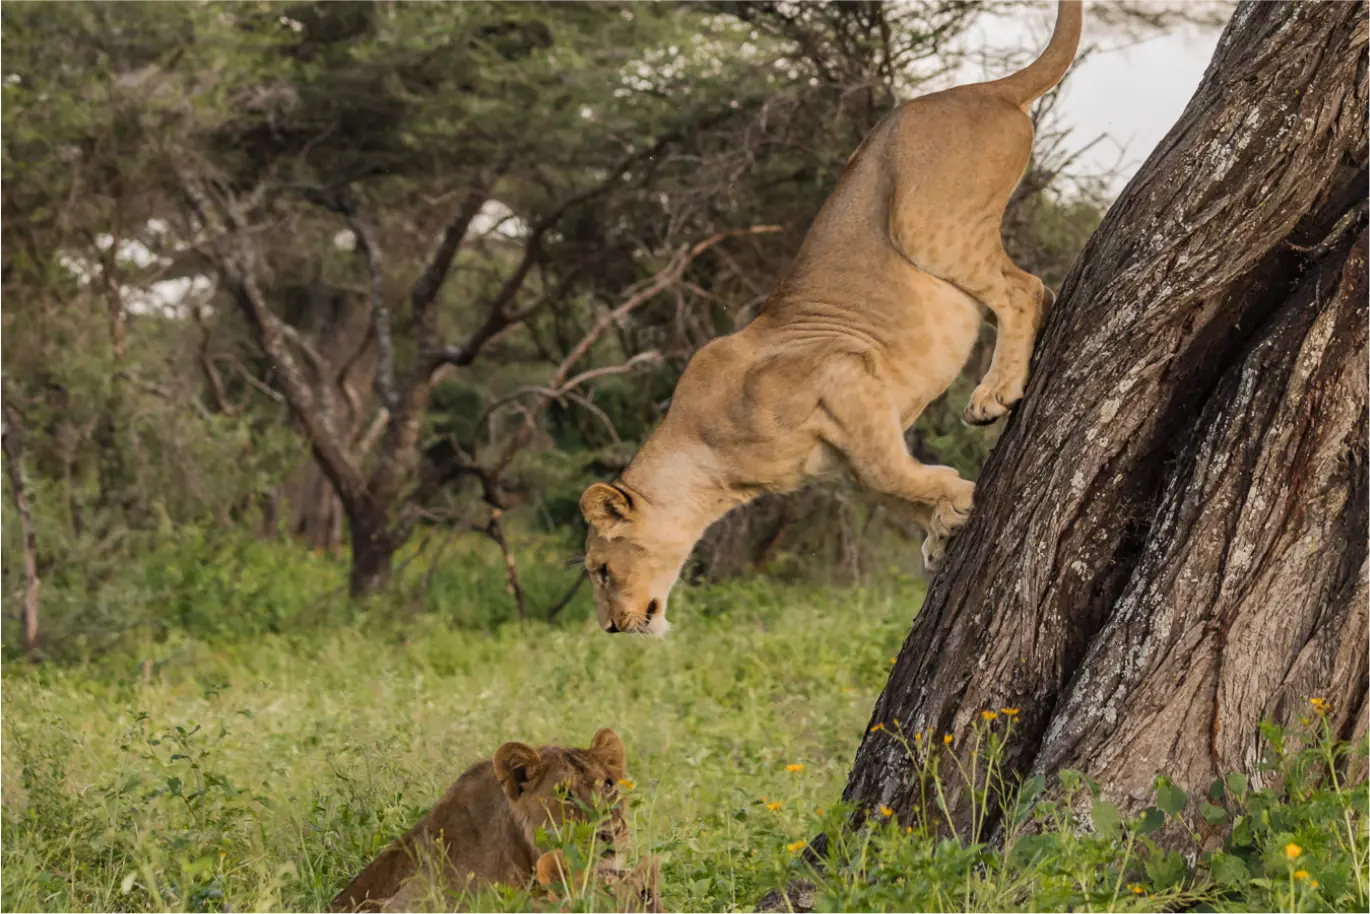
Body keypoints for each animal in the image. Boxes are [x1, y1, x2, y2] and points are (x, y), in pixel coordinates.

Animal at [579, 0, 1083, 635]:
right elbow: (886, 487)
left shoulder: (843, 369)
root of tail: (981, 89)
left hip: (922, 225)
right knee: (1033, 293)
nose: (610, 626)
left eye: (601, 569)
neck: (712, 467)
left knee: (1025, 288)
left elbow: (893, 473)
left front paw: (953, 501)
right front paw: (941, 527)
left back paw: (993, 395)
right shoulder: (842, 452)